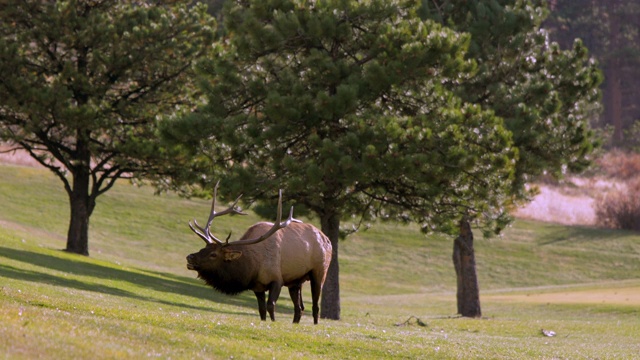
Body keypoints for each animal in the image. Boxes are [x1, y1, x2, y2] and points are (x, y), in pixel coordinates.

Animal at [185, 183, 332, 324]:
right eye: (203, 248)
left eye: (213, 254)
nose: (190, 257)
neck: (253, 266)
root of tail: (327, 239)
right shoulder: (257, 286)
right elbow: (261, 309)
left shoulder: (277, 279)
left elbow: (271, 305)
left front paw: (273, 322)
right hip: (295, 281)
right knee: (299, 307)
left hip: (319, 272)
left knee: (315, 306)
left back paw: (315, 324)